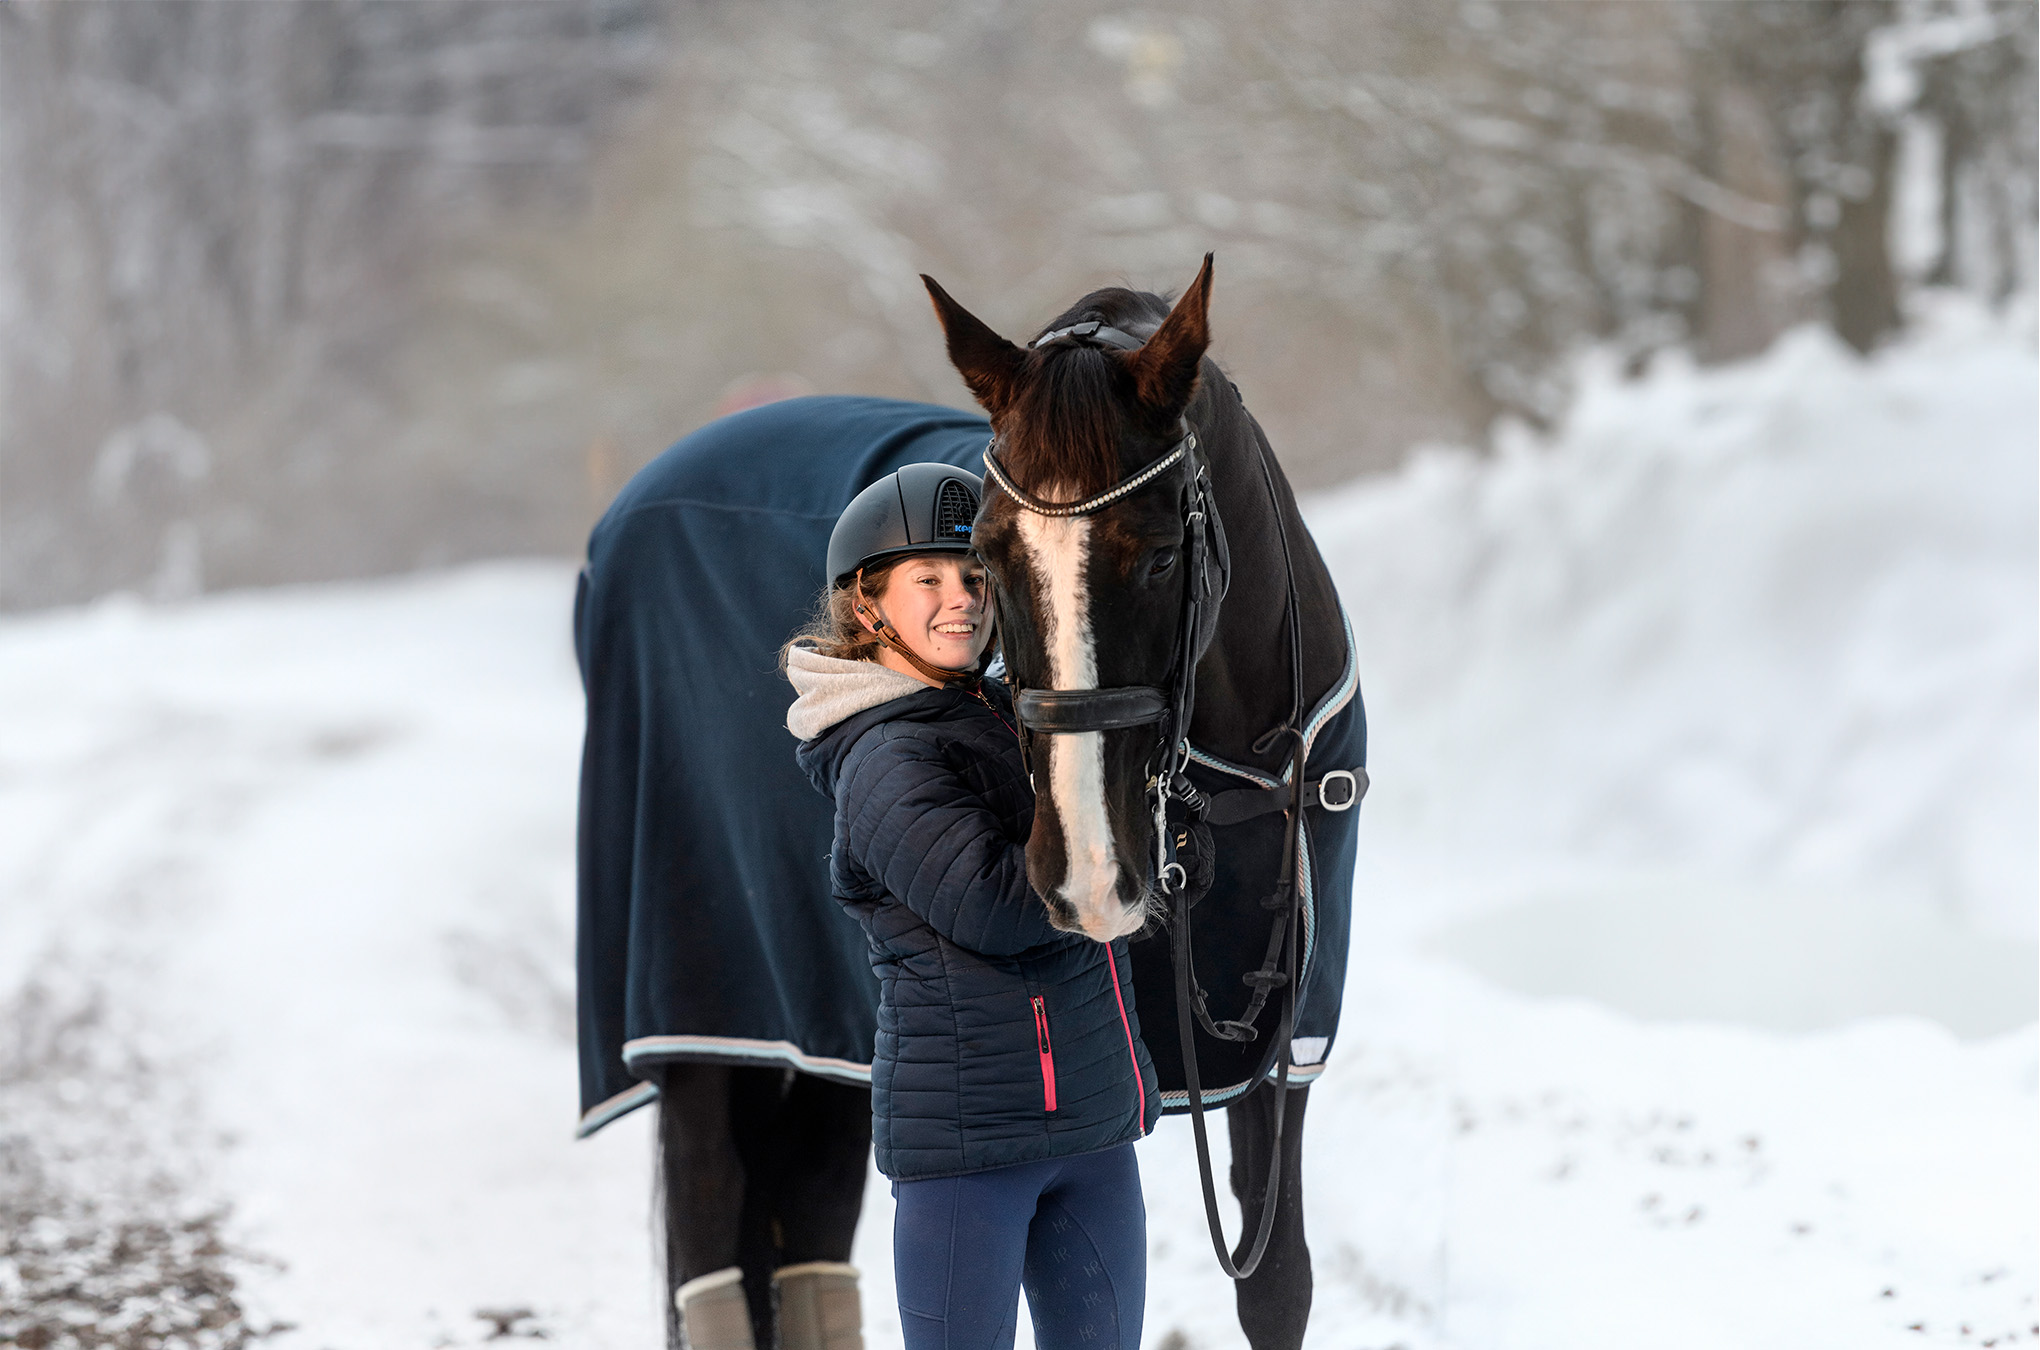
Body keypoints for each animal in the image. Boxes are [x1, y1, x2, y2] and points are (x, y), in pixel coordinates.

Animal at [572, 257, 1366, 1350]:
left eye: (1163, 553)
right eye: (986, 553)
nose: (1089, 879)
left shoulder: (1284, 1057)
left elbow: (1277, 1283)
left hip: (831, 1043)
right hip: (703, 1025)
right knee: (711, 1250)